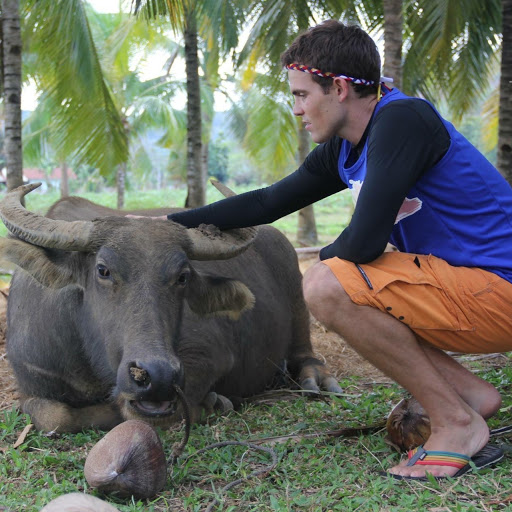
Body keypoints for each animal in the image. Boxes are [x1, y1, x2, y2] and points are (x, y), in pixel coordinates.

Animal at [2, 184, 342, 432]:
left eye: (182, 276)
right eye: (103, 270)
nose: (158, 375)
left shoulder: (209, 357)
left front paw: (213, 403)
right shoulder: (31, 380)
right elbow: (55, 417)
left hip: (297, 293)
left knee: (303, 349)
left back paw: (316, 377)